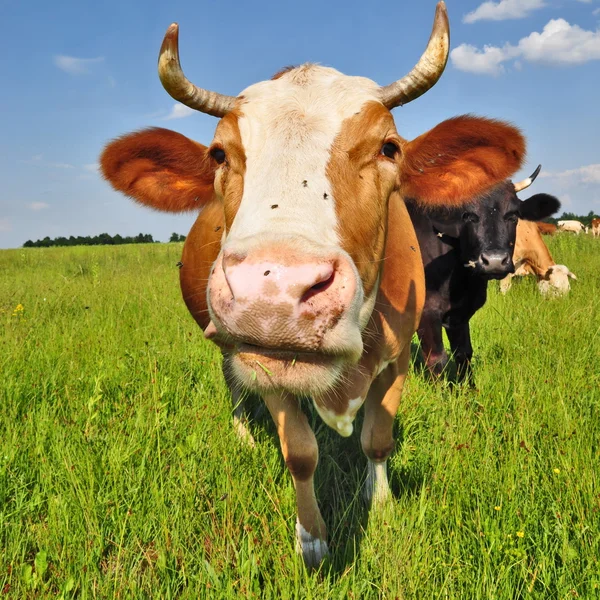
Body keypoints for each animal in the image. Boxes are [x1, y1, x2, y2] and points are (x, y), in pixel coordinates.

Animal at [101, 2, 536, 568]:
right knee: (233, 382)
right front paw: (312, 539)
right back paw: (244, 433)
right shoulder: (265, 363)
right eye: (219, 155)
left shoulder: (402, 353)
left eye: (389, 148)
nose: (273, 289)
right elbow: (301, 453)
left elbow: (377, 439)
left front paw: (383, 507)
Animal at [410, 164, 560, 380]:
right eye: (468, 216)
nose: (495, 261)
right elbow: (436, 360)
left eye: (513, 216)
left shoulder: (460, 313)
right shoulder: (426, 312)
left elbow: (464, 353)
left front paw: (469, 389)